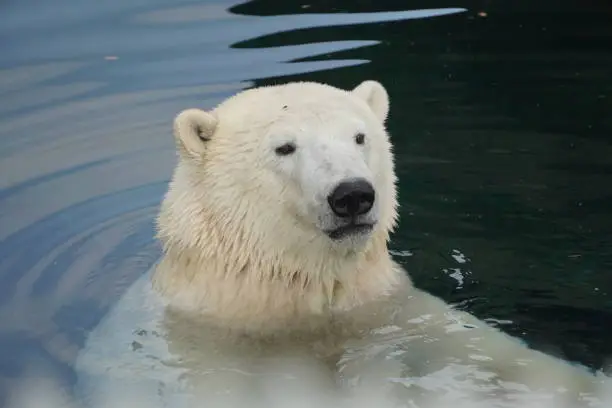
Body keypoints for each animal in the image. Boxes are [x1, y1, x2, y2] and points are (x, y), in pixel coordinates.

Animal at [74, 80, 608, 408]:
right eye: (284, 147)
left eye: (359, 137)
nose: (352, 195)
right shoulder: (211, 344)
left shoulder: (381, 305)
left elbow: (481, 350)